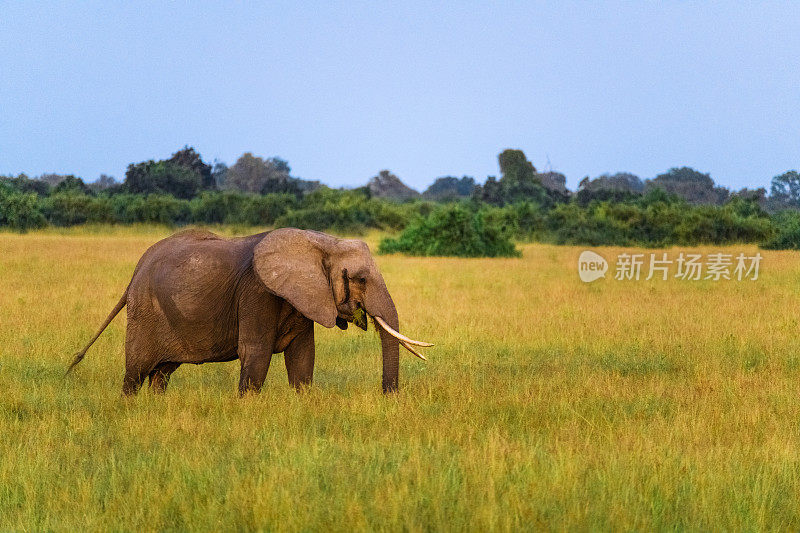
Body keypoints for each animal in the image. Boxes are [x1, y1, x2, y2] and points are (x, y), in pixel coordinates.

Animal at [68, 227, 432, 392]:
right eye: (360, 279)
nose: (388, 397)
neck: (322, 242)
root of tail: (135, 272)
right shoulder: (257, 293)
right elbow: (255, 354)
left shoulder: (303, 298)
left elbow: (303, 359)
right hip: (145, 310)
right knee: (136, 372)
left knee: (161, 373)